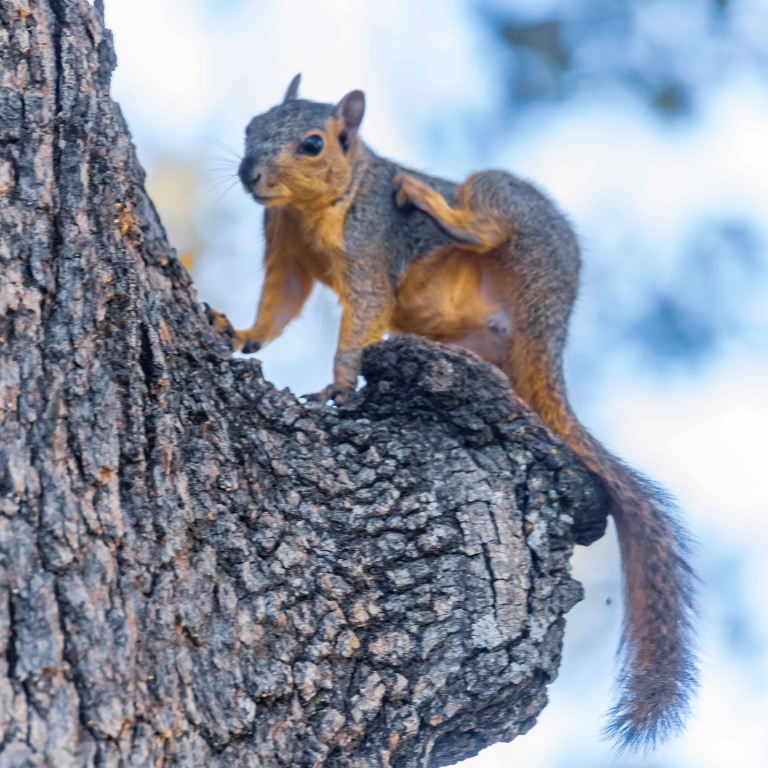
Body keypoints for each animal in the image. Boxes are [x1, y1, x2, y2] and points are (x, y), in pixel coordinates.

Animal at [206, 73, 697, 751]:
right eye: (252, 125)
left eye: (312, 144)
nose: (251, 173)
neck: (313, 212)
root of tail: (549, 319)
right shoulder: (285, 250)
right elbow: (279, 306)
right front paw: (242, 332)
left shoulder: (371, 247)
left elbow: (360, 316)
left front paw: (339, 384)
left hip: (506, 205)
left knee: (486, 226)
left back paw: (439, 208)